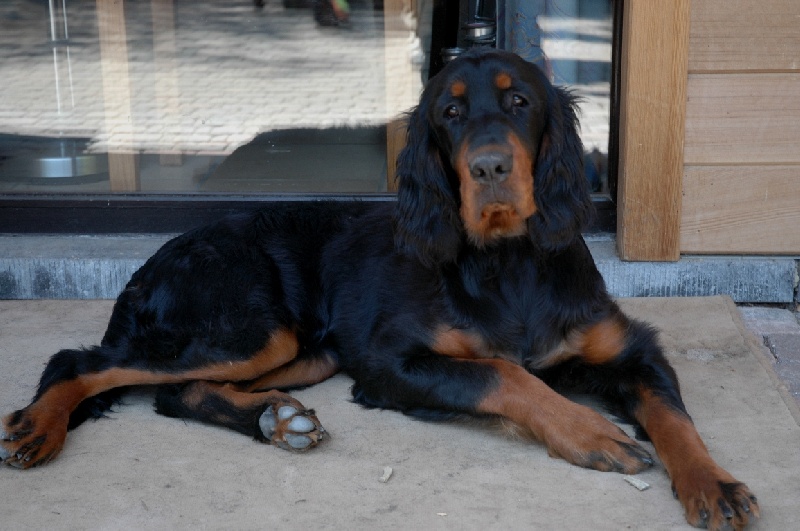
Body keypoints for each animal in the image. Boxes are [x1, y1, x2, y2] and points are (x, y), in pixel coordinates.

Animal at [1, 49, 757, 530]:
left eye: (520, 101)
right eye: (449, 114)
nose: (488, 167)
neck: (509, 262)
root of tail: (154, 260)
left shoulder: (628, 349)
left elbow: (674, 416)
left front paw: (713, 482)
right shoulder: (391, 361)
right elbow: (504, 374)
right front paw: (592, 430)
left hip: (305, 352)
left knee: (174, 393)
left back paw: (278, 420)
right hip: (251, 326)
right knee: (82, 362)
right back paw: (39, 427)